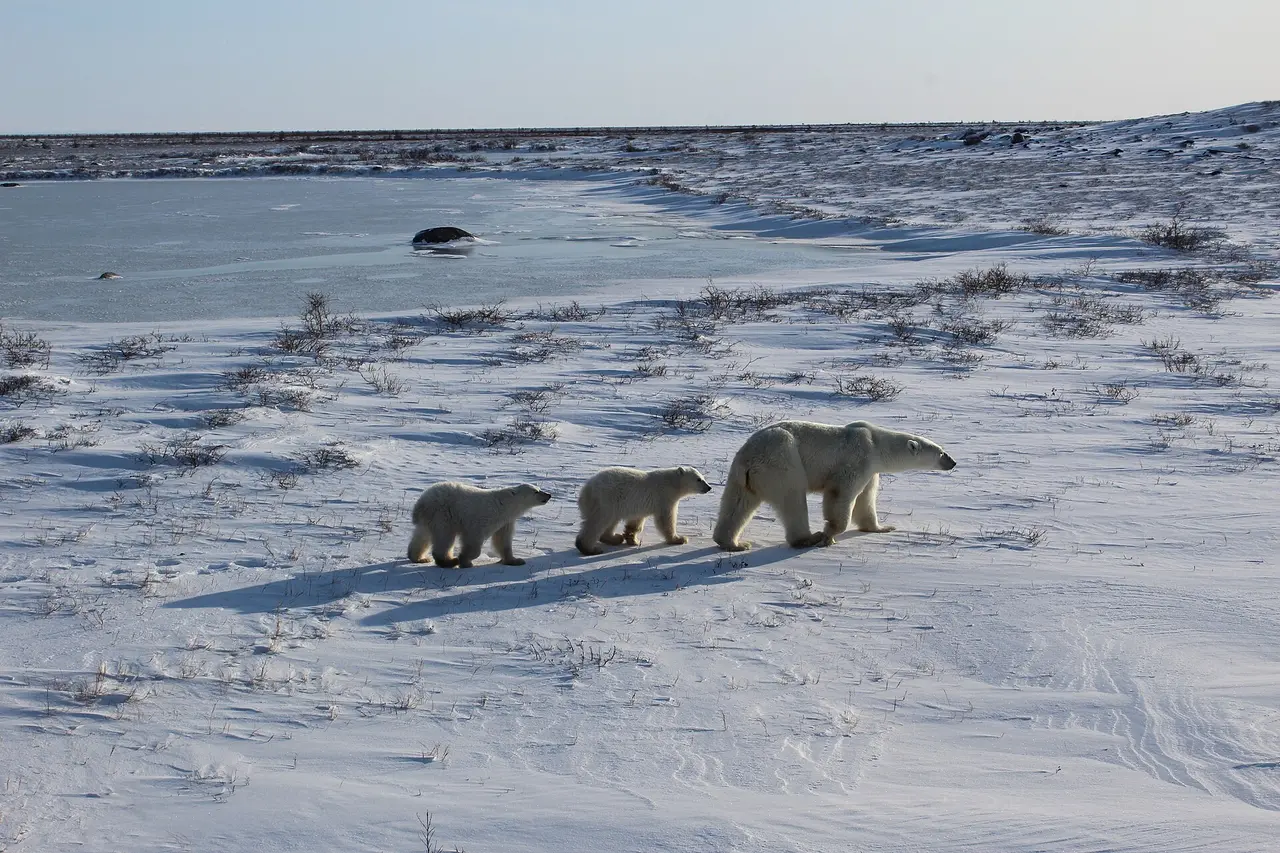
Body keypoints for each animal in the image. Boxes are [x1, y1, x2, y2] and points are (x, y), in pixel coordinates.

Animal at [406, 481, 552, 568]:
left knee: (422, 536)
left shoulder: (506, 521)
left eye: (539, 488)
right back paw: (449, 561)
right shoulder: (483, 517)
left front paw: (516, 560)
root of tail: (421, 503)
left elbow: (503, 540)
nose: (549, 495)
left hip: (429, 518)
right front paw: (465, 560)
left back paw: (419, 558)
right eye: (536, 491)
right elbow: (474, 540)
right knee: (444, 537)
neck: (505, 504)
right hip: (442, 514)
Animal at [575, 466, 713, 556]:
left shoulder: (640, 506)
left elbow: (636, 522)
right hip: (606, 499)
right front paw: (679, 539)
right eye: (699, 479)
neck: (672, 482)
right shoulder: (664, 497)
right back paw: (590, 549)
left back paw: (615, 538)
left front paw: (632, 539)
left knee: (610, 521)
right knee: (598, 522)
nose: (709, 487)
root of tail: (586, 490)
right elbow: (666, 519)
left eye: (703, 477)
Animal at [712, 420, 956, 551]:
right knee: (793, 499)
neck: (876, 444)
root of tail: (749, 459)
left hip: (743, 476)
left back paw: (733, 543)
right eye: (941, 452)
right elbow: (841, 495)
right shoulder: (857, 459)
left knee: (737, 504)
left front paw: (882, 527)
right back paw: (808, 538)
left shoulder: (870, 471)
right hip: (782, 462)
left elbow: (866, 500)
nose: (953, 462)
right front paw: (828, 536)